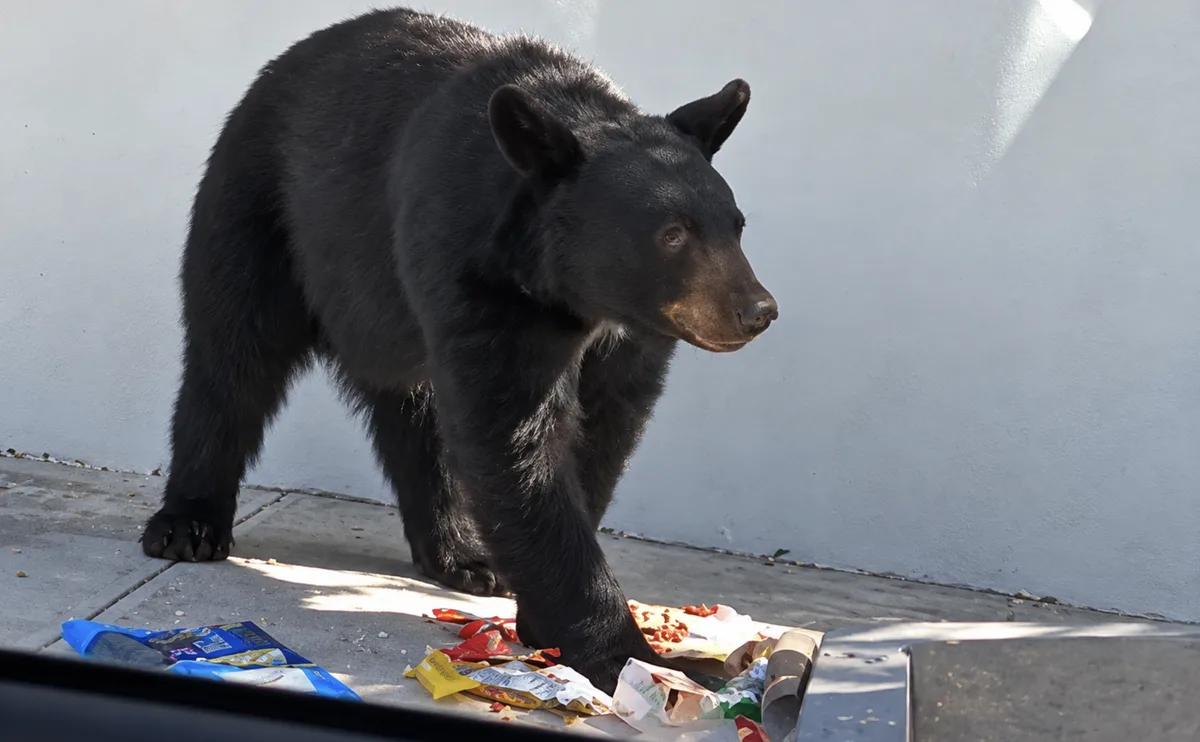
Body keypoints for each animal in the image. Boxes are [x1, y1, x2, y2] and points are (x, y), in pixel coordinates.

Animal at [140, 6, 777, 691]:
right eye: (673, 233)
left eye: (736, 224)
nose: (758, 310)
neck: (572, 293)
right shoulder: (475, 270)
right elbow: (513, 437)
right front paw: (620, 653)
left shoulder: (626, 337)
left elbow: (604, 432)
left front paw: (547, 615)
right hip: (262, 209)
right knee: (232, 354)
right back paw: (188, 525)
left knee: (414, 413)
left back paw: (461, 554)